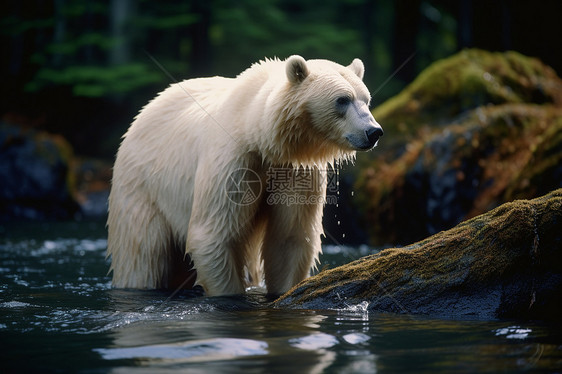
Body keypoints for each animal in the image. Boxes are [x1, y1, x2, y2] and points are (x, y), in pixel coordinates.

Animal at [106, 54, 380, 296]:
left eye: (366, 99)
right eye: (342, 99)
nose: (373, 131)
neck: (259, 135)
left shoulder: (294, 169)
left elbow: (290, 237)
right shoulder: (233, 160)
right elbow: (214, 235)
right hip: (142, 187)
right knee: (143, 253)